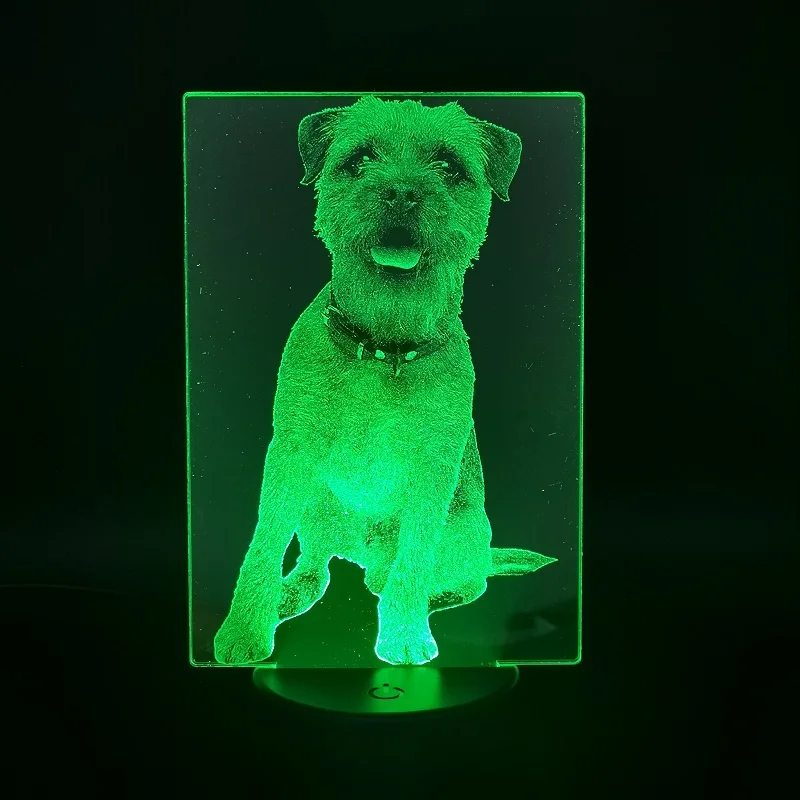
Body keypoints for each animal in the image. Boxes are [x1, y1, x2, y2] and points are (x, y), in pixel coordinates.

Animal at [213, 96, 557, 666]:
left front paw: (403, 631)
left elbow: (414, 558)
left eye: (448, 166)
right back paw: (290, 594)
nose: (399, 193)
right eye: (361, 159)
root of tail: (362, 549)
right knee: (315, 568)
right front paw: (245, 626)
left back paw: (412, 594)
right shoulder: (290, 456)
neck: (383, 348)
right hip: (317, 503)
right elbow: (263, 543)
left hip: (463, 532)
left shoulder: (432, 474)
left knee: (455, 579)